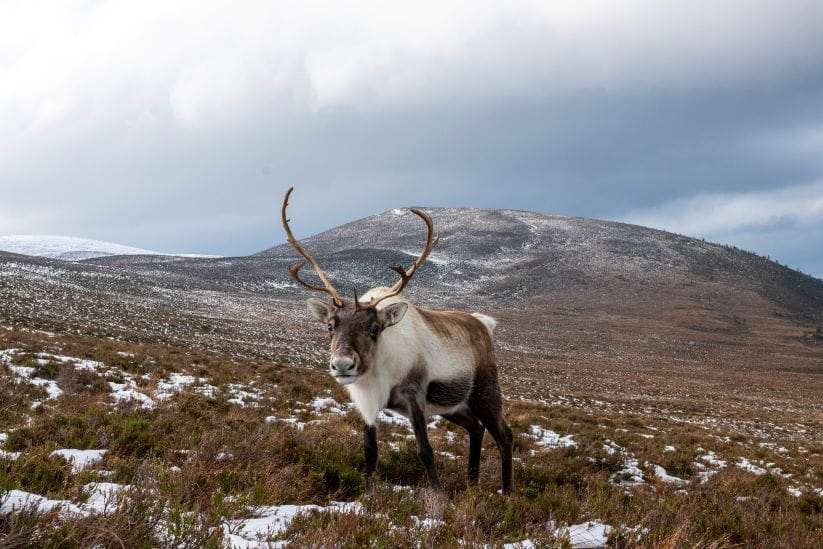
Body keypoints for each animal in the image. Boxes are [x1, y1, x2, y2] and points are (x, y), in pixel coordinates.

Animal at [281, 187, 513, 494]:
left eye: (375, 328)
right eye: (330, 326)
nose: (343, 365)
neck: (381, 369)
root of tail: (484, 324)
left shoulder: (415, 397)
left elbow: (425, 451)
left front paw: (438, 495)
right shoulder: (366, 402)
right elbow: (370, 451)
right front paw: (368, 493)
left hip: (485, 392)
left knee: (504, 435)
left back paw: (507, 493)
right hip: (452, 406)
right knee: (476, 428)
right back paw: (471, 486)